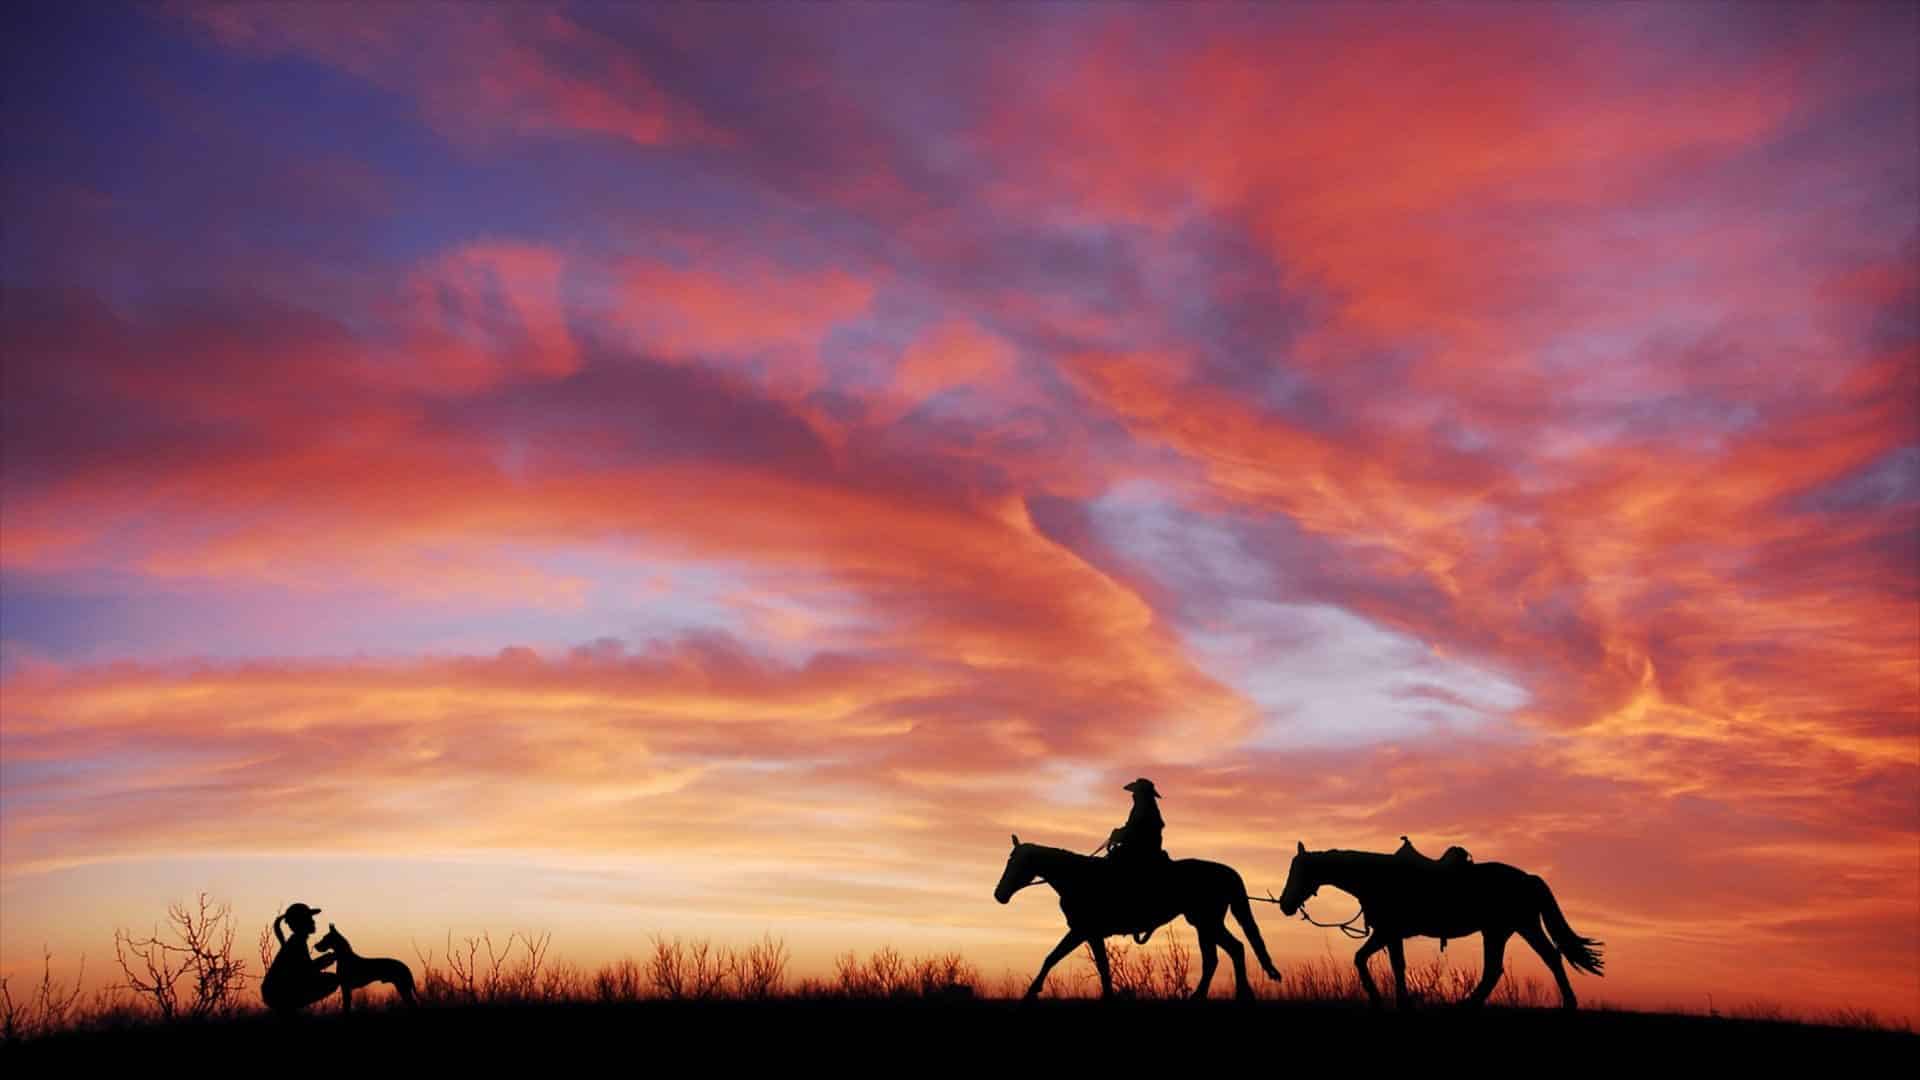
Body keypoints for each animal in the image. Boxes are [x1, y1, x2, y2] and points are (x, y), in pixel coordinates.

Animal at [998, 834, 1282, 999]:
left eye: (1016, 862)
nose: (999, 894)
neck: (1077, 878)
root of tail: (1226, 871)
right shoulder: (1089, 933)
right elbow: (1095, 966)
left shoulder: (1083, 931)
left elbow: (1055, 958)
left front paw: (1031, 993)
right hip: (1204, 923)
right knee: (1228, 952)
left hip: (1206, 922)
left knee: (1227, 951)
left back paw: (1231, 995)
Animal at [1274, 837, 1605, 1006]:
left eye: (1298, 870)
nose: (1285, 905)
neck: (1378, 878)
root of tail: (1528, 878)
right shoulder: (1388, 934)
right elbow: (1374, 961)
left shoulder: (1389, 932)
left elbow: (1383, 964)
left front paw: (1388, 999)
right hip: (1509, 929)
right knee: (1519, 964)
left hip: (1508, 929)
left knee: (1527, 962)